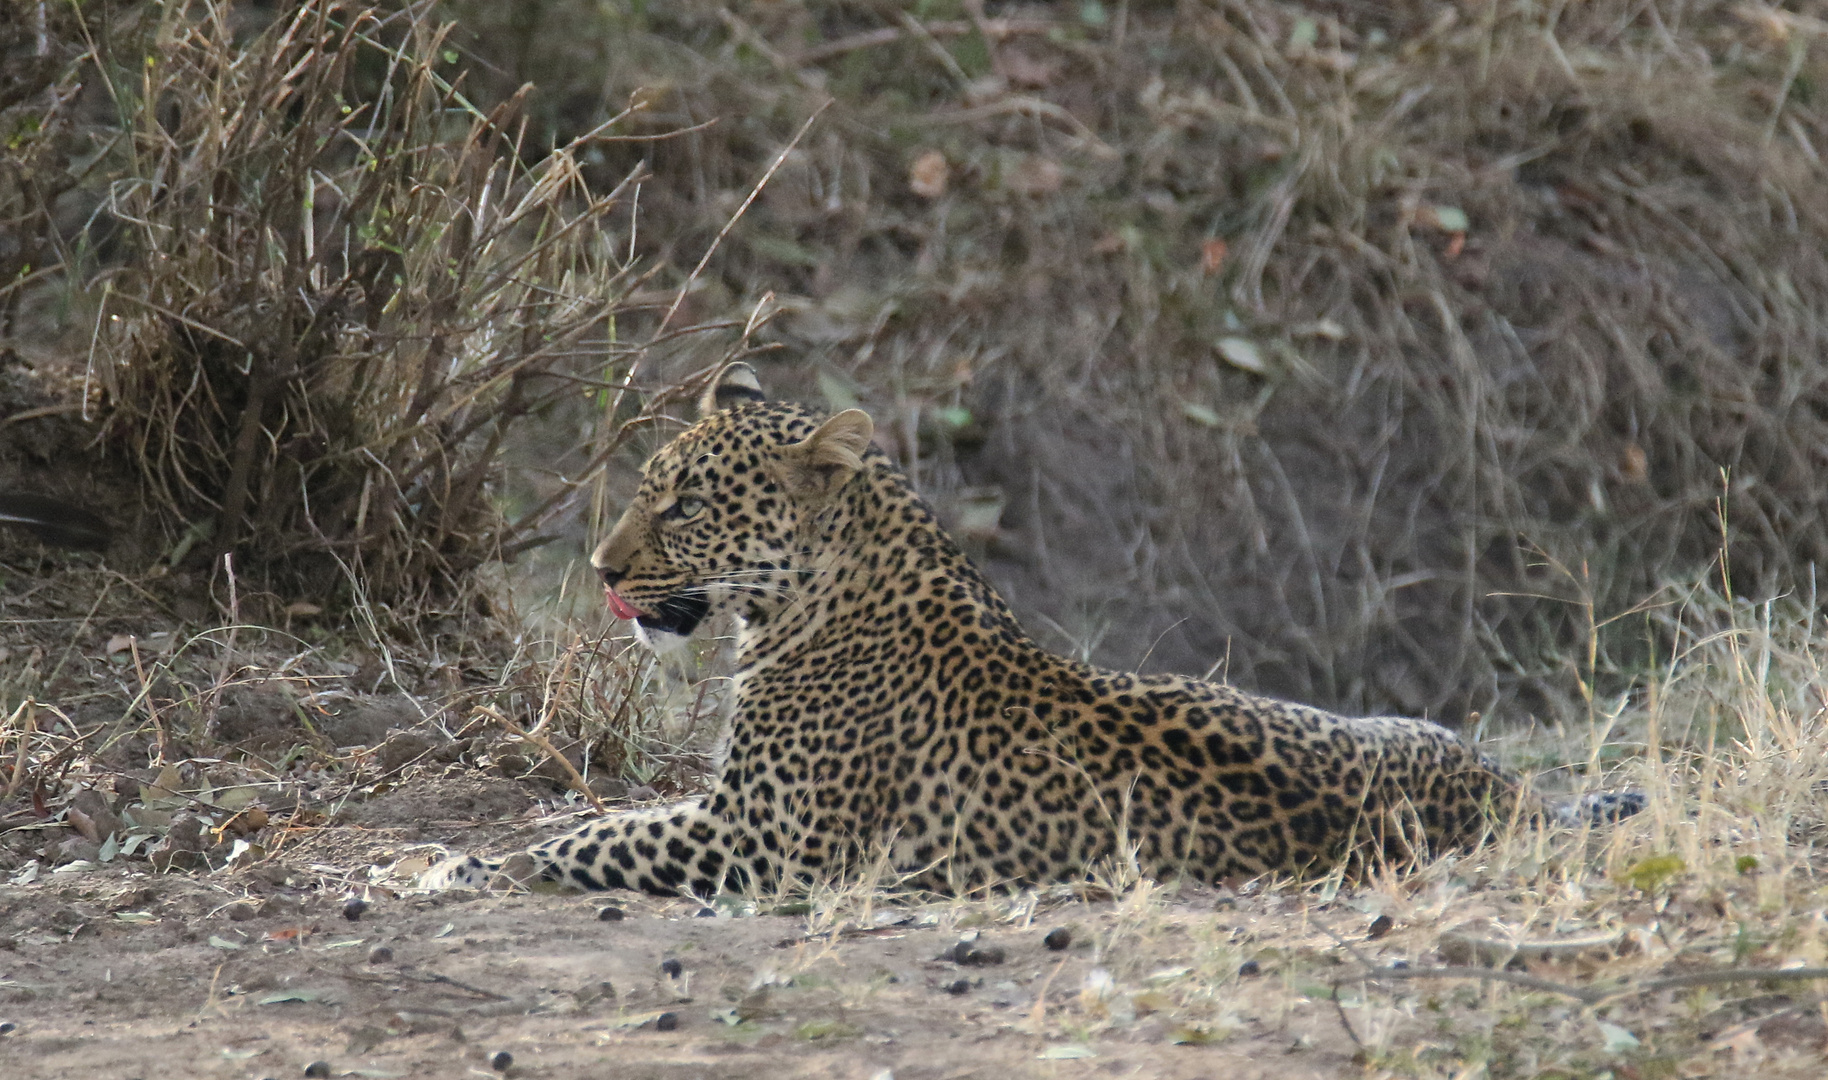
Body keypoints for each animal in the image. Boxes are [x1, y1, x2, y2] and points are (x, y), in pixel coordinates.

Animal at [427, 363, 1645, 895]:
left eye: (684, 504)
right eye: (652, 491)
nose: (601, 569)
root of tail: (1500, 796)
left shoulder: (770, 841)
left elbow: (589, 841)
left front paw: (464, 866)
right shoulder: (742, 824)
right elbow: (602, 820)